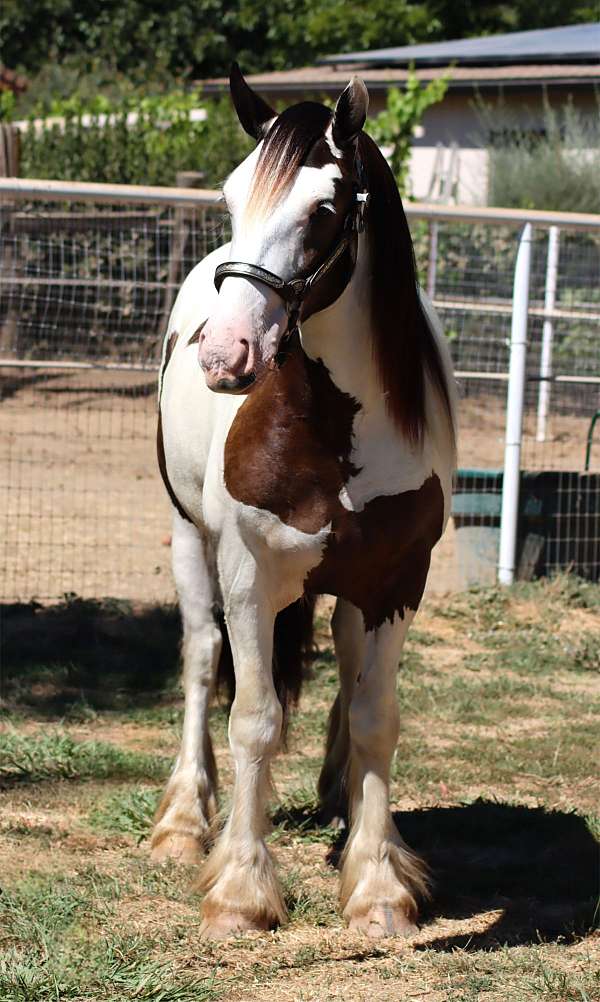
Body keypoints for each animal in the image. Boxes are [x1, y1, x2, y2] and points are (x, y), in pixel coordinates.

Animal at [151, 64, 457, 940]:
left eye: (324, 210)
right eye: (231, 196)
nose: (225, 354)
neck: (330, 428)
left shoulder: (396, 582)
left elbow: (375, 717)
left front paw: (378, 884)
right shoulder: (249, 576)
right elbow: (252, 718)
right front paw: (241, 891)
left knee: (348, 674)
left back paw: (338, 802)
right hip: (188, 544)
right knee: (199, 660)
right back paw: (184, 822)